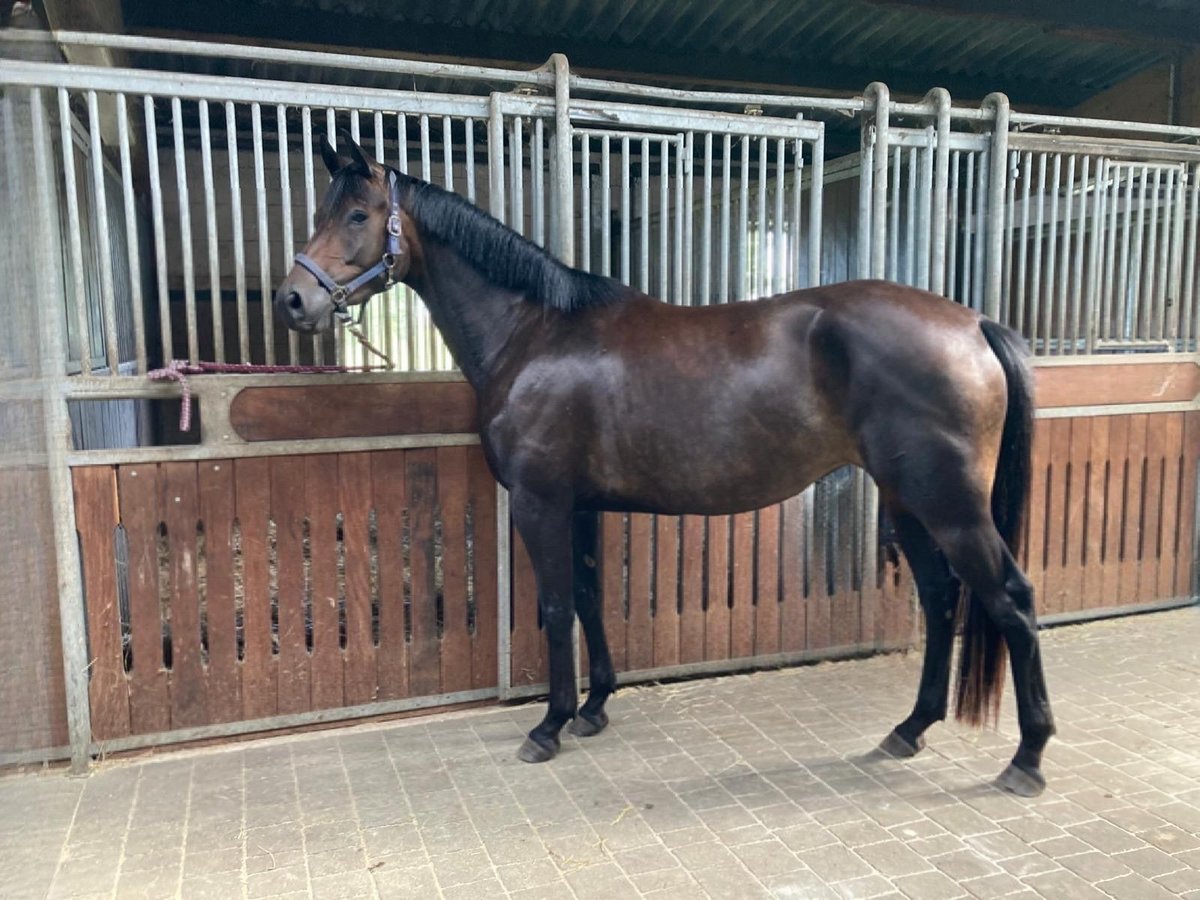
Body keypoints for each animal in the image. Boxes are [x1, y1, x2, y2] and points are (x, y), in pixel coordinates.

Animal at [276, 132, 1056, 796]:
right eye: (320, 212)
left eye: (357, 215)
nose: (293, 299)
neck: (535, 334)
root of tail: (973, 324)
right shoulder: (581, 505)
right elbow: (588, 597)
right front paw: (594, 708)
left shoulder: (540, 502)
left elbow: (555, 606)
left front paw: (549, 726)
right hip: (906, 499)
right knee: (941, 597)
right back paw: (909, 729)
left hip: (949, 505)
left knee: (1010, 600)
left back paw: (1027, 758)